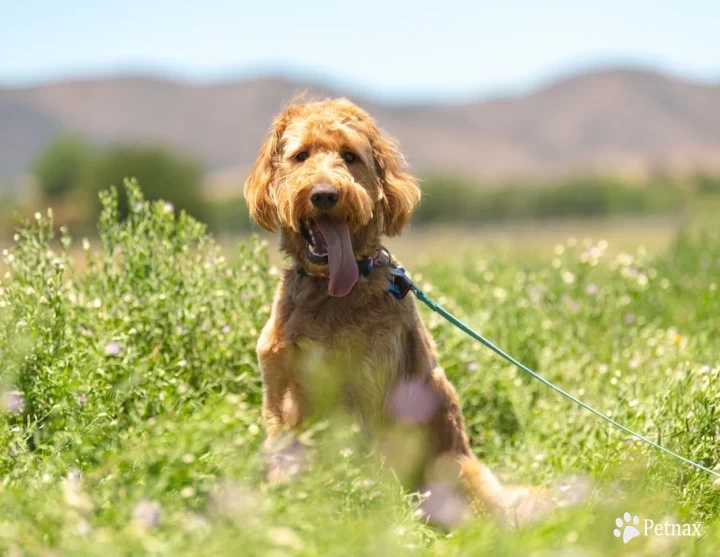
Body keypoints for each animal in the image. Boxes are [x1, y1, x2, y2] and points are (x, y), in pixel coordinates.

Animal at [245, 96, 556, 524]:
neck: (330, 294)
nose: (324, 194)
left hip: (456, 470)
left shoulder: (374, 400)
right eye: (301, 155)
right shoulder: (281, 399)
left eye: (350, 155)